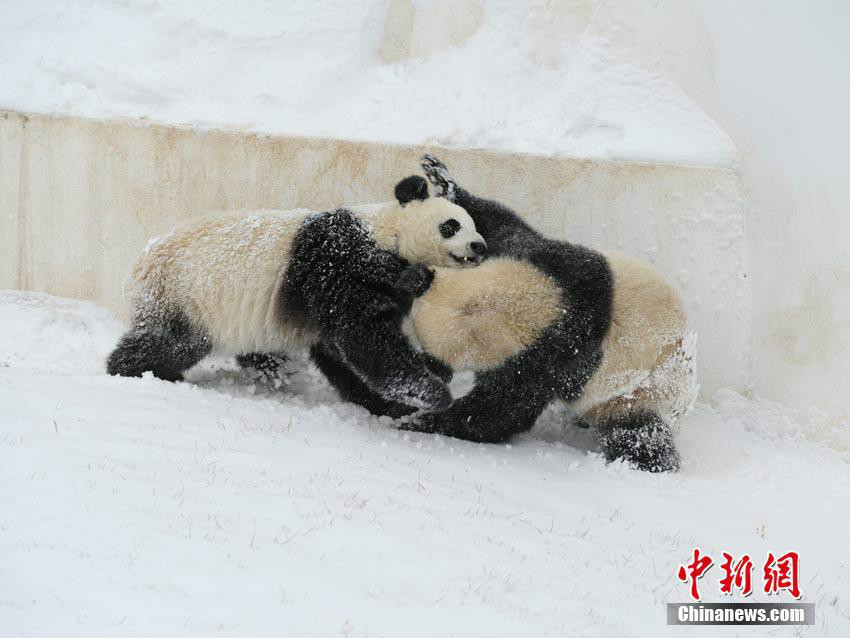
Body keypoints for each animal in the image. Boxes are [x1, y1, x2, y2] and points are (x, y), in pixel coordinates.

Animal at [107, 178, 486, 412]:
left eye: (474, 224)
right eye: (452, 225)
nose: (479, 247)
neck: (384, 233)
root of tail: (135, 269)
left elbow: (339, 351)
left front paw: (384, 402)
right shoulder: (338, 264)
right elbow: (365, 339)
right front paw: (433, 392)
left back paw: (272, 371)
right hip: (181, 295)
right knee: (170, 342)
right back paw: (134, 372)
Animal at [322, 158, 692, 472]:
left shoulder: (551, 358)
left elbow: (500, 410)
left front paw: (417, 421)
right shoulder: (554, 266)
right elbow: (506, 226)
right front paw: (440, 176)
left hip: (637, 389)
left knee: (637, 433)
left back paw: (646, 460)